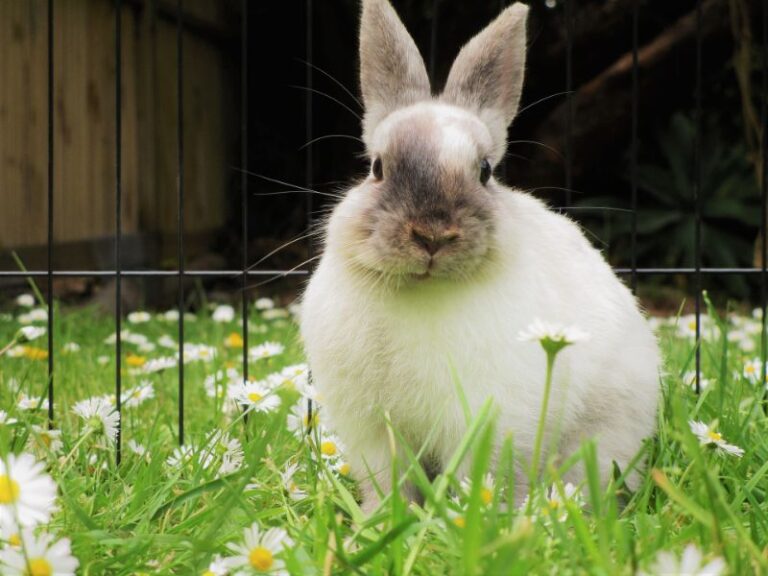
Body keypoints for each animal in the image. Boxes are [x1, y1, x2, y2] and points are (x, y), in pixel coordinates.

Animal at [300, 0, 660, 513]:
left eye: (486, 171)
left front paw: (475, 516)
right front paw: (379, 519)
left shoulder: (491, 419)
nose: (432, 234)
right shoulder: (373, 431)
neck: (423, 290)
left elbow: (482, 475)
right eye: (377, 168)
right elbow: (389, 481)